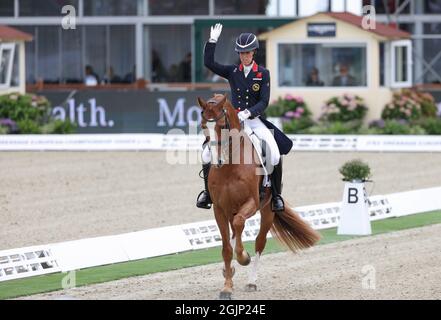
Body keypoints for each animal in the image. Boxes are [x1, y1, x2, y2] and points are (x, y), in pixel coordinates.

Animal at [199, 94, 320, 298]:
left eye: (222, 126)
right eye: (202, 126)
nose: (216, 162)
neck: (230, 165)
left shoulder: (252, 203)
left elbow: (240, 226)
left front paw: (243, 258)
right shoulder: (219, 209)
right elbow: (226, 248)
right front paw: (227, 287)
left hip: (268, 210)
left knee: (259, 241)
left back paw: (251, 281)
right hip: (232, 209)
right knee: (234, 234)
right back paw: (229, 270)